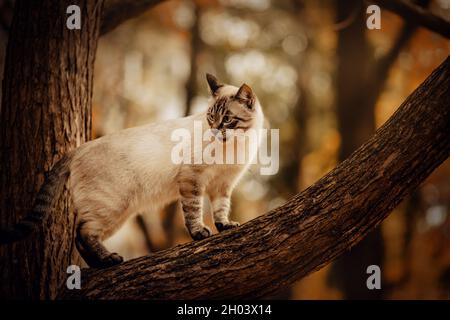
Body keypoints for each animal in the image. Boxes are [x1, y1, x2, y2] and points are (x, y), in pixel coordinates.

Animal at [0, 74, 264, 268]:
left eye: (227, 120)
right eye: (211, 117)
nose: (216, 130)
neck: (234, 146)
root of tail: (80, 147)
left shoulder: (223, 185)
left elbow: (221, 210)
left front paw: (225, 225)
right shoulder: (193, 180)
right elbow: (194, 212)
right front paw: (200, 233)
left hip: (118, 216)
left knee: (79, 236)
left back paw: (100, 265)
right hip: (111, 207)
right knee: (84, 233)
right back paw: (109, 260)